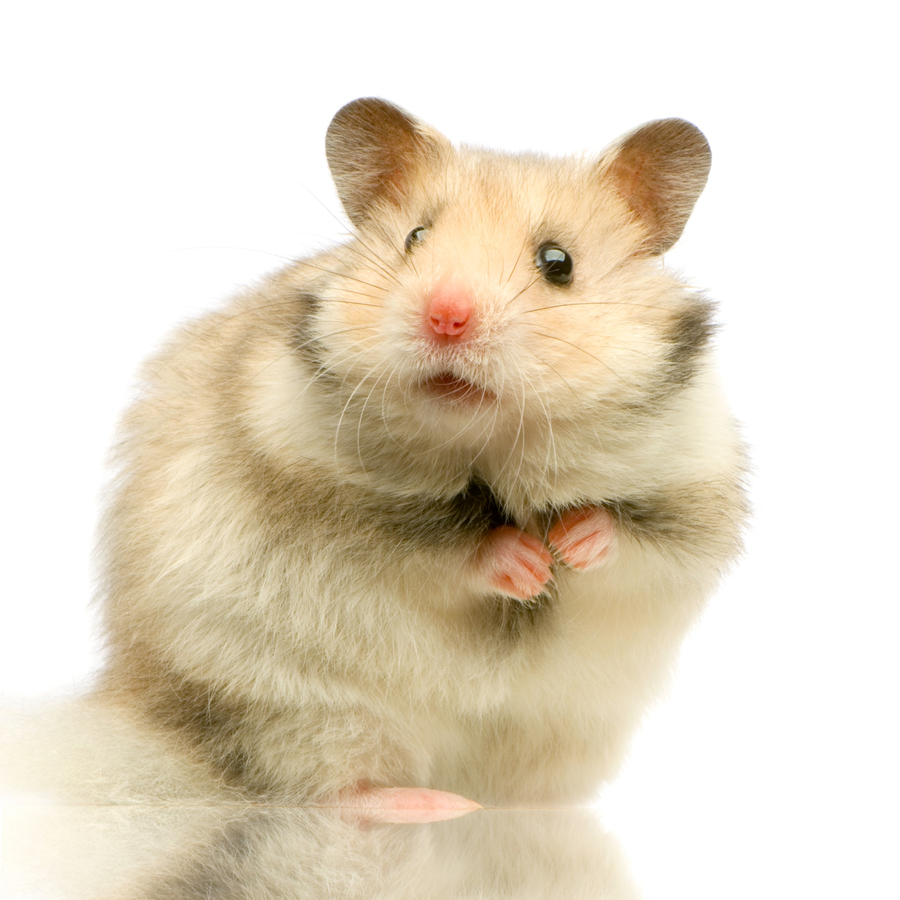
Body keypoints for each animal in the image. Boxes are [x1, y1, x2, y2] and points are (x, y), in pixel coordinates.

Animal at [95, 98, 747, 812]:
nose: (446, 317)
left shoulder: (696, 498)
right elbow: (441, 547)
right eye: (414, 237)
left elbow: (633, 538)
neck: (491, 440)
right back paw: (425, 804)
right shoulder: (334, 507)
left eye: (558, 261)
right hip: (294, 712)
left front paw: (569, 547)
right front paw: (528, 567)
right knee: (320, 789)